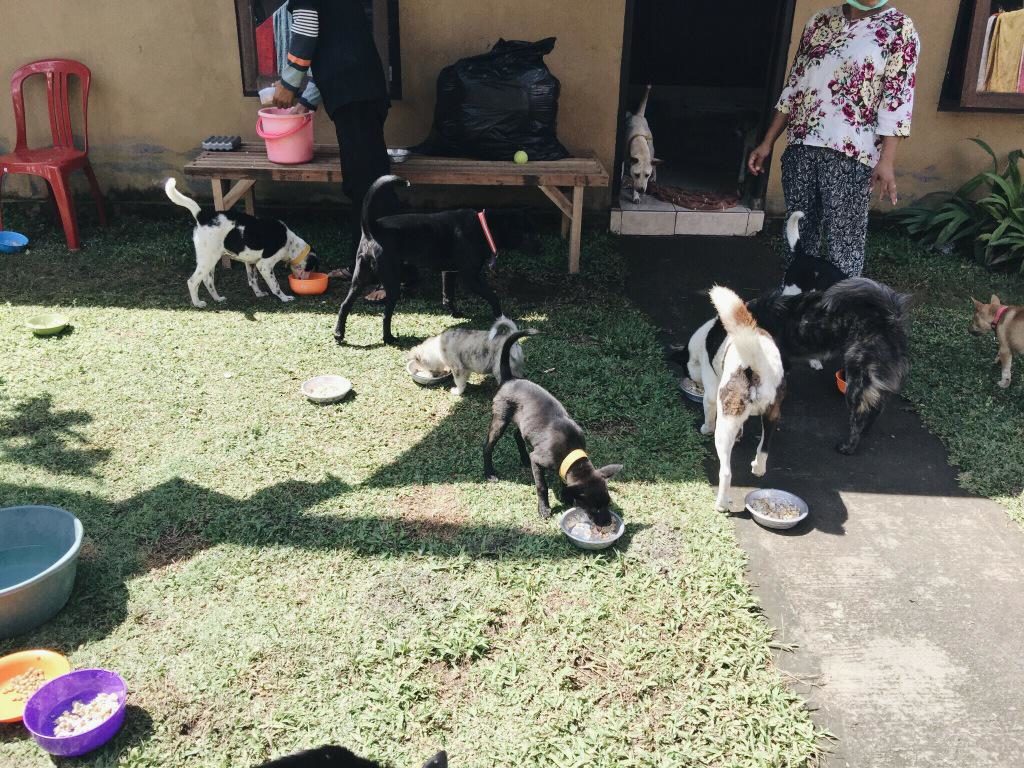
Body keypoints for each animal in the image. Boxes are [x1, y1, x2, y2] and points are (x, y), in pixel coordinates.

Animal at [163, 179, 313, 309]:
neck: (290, 242)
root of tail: (202, 216)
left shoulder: (250, 262)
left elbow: (253, 280)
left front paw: (259, 294)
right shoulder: (264, 265)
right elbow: (275, 286)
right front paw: (284, 298)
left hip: (209, 260)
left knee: (208, 281)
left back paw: (217, 299)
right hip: (209, 260)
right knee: (192, 281)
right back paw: (197, 303)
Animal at [337, 174, 544, 346]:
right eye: (530, 234)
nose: (541, 248)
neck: (483, 227)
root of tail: (371, 229)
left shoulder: (449, 272)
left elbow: (448, 295)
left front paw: (455, 313)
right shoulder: (471, 277)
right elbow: (493, 296)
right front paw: (499, 316)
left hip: (360, 278)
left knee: (345, 304)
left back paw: (339, 334)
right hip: (391, 282)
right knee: (385, 315)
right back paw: (388, 338)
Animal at [481, 327, 622, 528]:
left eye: (608, 503)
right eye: (594, 508)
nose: (607, 523)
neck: (570, 449)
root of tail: (510, 379)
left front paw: (565, 496)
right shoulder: (539, 460)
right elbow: (542, 486)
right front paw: (544, 508)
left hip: (524, 424)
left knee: (517, 435)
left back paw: (523, 458)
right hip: (500, 419)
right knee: (488, 446)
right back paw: (489, 473)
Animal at [692, 286, 786, 512]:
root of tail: (754, 363)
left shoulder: (711, 388)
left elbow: (708, 408)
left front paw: (705, 428)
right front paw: (741, 434)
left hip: (724, 425)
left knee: (726, 472)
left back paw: (721, 504)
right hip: (772, 413)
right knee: (764, 448)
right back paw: (758, 468)